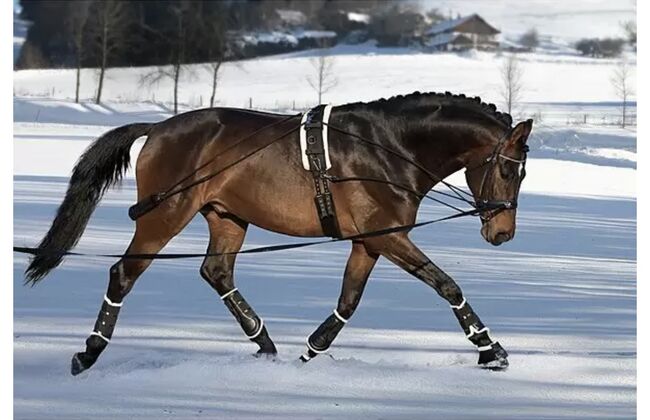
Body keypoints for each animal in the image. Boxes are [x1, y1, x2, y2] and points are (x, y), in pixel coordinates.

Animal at [24, 91, 532, 374]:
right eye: (510, 172)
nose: (502, 233)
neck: (390, 148)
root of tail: (160, 127)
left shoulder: (371, 240)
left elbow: (349, 302)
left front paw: (311, 351)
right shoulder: (386, 236)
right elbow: (447, 285)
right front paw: (490, 350)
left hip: (227, 217)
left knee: (216, 273)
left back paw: (264, 343)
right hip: (164, 216)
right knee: (123, 275)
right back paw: (88, 353)